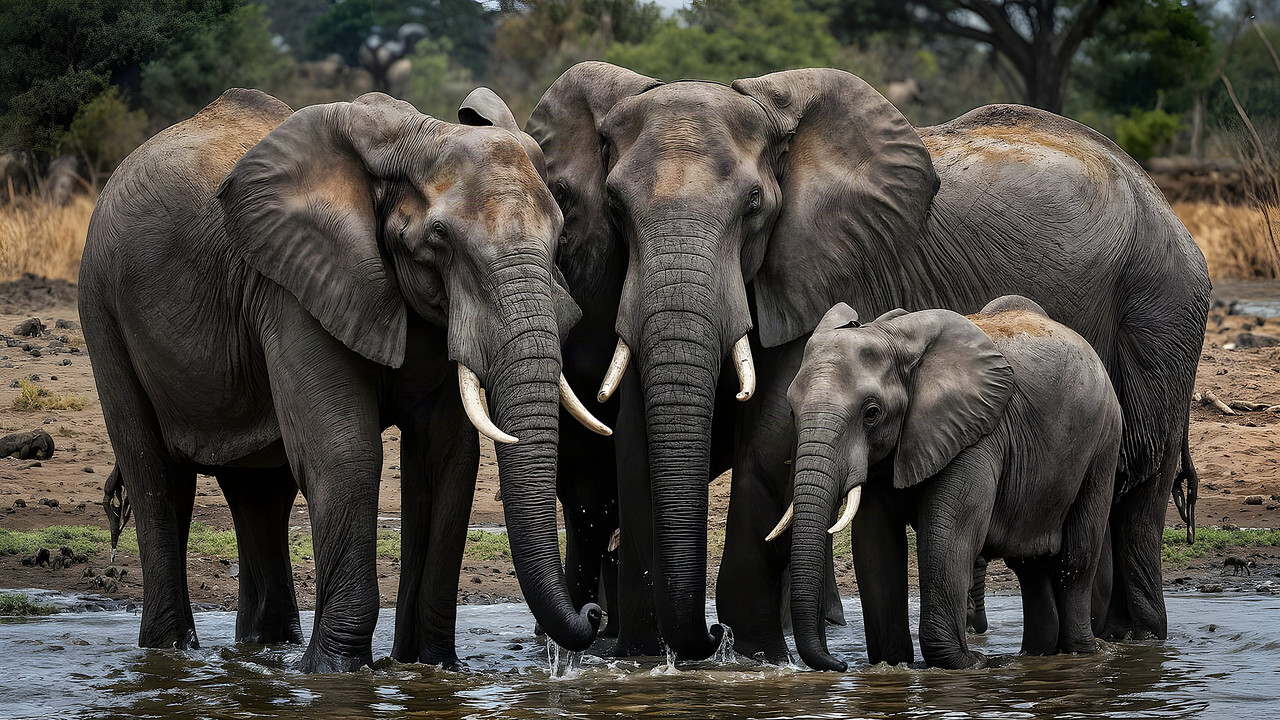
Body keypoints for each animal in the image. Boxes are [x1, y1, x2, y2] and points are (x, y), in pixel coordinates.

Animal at [79, 87, 608, 672]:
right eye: (440, 238)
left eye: (559, 238)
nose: (594, 615)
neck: (415, 139)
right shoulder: (295, 286)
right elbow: (344, 454)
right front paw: (333, 673)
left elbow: (447, 457)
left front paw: (428, 668)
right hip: (101, 303)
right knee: (155, 476)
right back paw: (170, 653)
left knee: (260, 493)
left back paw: (264, 649)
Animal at [776, 298, 1120, 670]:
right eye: (792, 412)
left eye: (871, 413)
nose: (839, 665)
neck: (892, 338)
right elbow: (874, 541)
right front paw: (893, 664)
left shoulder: (978, 431)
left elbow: (950, 531)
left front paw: (968, 663)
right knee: (1029, 565)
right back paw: (1036, 655)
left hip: (1103, 440)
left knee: (1076, 555)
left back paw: (1082, 652)